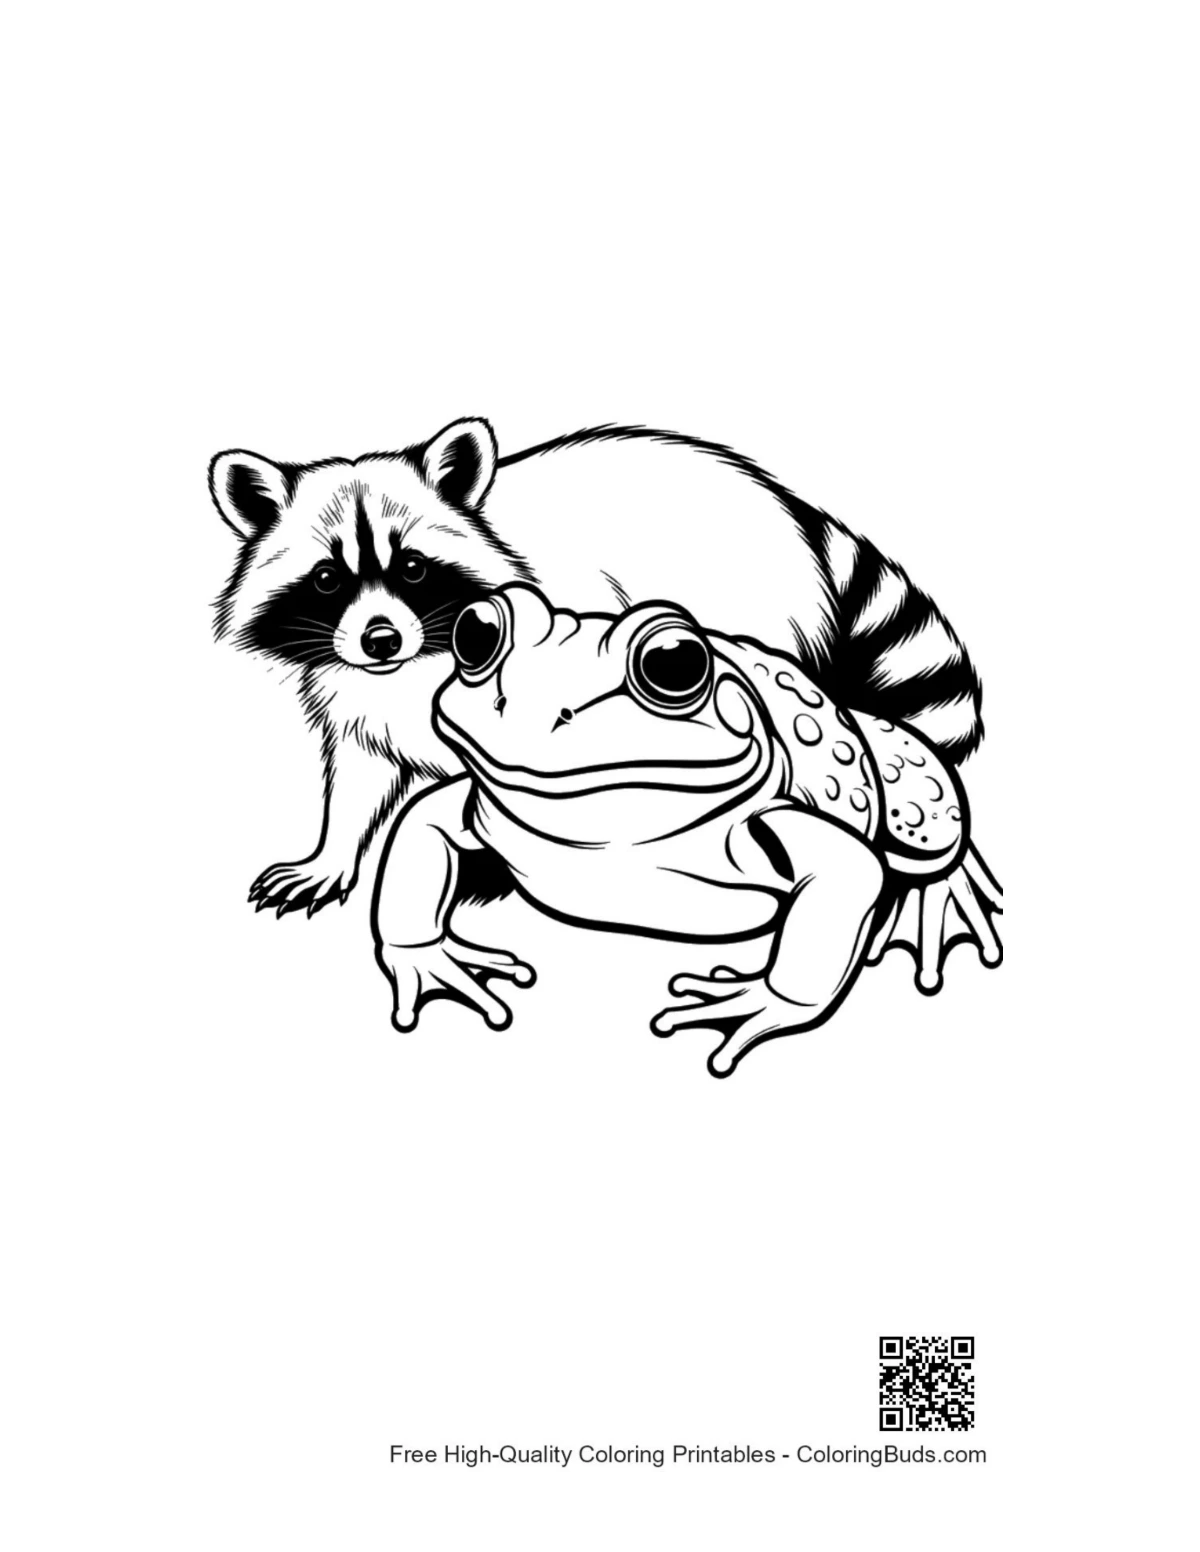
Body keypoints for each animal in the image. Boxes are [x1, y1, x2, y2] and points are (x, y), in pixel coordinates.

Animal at [211, 419, 983, 914]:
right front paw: (331, 853)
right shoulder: (358, 691)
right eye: (327, 580)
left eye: (412, 569)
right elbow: (360, 772)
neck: (415, 658)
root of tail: (785, 505)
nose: (379, 639)